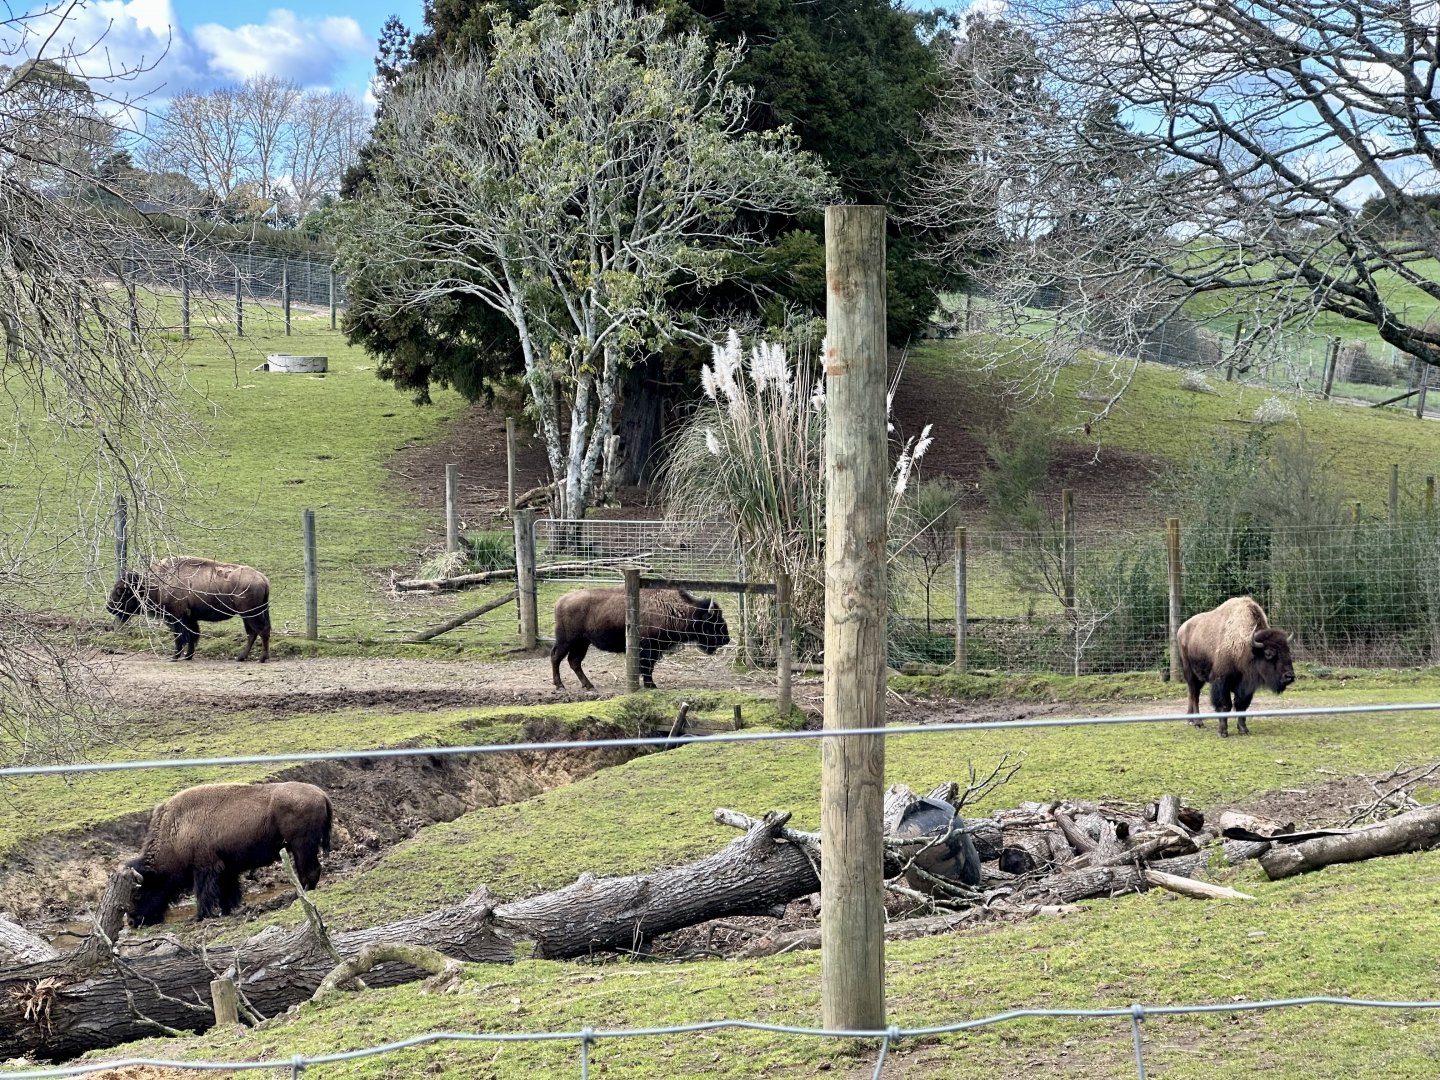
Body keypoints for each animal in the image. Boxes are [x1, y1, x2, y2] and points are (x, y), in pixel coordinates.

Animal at [108, 556, 271, 662]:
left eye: (120, 590)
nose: (109, 607)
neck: (155, 584)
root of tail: (263, 578)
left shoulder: (177, 618)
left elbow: (180, 636)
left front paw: (175, 657)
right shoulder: (189, 618)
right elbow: (192, 636)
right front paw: (188, 656)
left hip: (250, 614)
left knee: (260, 631)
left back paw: (260, 658)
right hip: (250, 615)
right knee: (254, 633)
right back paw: (241, 657)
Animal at [127, 781, 332, 926]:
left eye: (138, 895)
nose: (131, 922)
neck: (176, 830)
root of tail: (322, 794)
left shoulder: (205, 868)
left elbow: (204, 893)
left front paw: (200, 916)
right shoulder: (226, 868)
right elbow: (227, 891)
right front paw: (227, 910)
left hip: (302, 847)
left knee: (309, 871)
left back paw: (301, 894)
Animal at [551, 587, 730, 690]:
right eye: (713, 620)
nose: (726, 639)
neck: (672, 609)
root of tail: (560, 601)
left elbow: (647, 667)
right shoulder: (648, 648)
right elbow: (647, 667)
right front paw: (651, 685)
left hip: (582, 643)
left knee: (574, 661)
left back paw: (588, 685)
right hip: (567, 640)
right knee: (556, 657)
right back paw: (560, 685)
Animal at [1176, 596, 1295, 737]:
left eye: (1288, 651)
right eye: (1268, 653)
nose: (1289, 676)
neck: (1246, 648)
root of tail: (1181, 629)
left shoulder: (1246, 687)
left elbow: (1241, 706)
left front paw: (1243, 729)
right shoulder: (1221, 682)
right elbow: (1224, 705)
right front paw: (1222, 732)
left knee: (1192, 693)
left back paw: (1190, 720)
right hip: (1190, 672)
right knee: (1194, 695)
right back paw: (1198, 723)